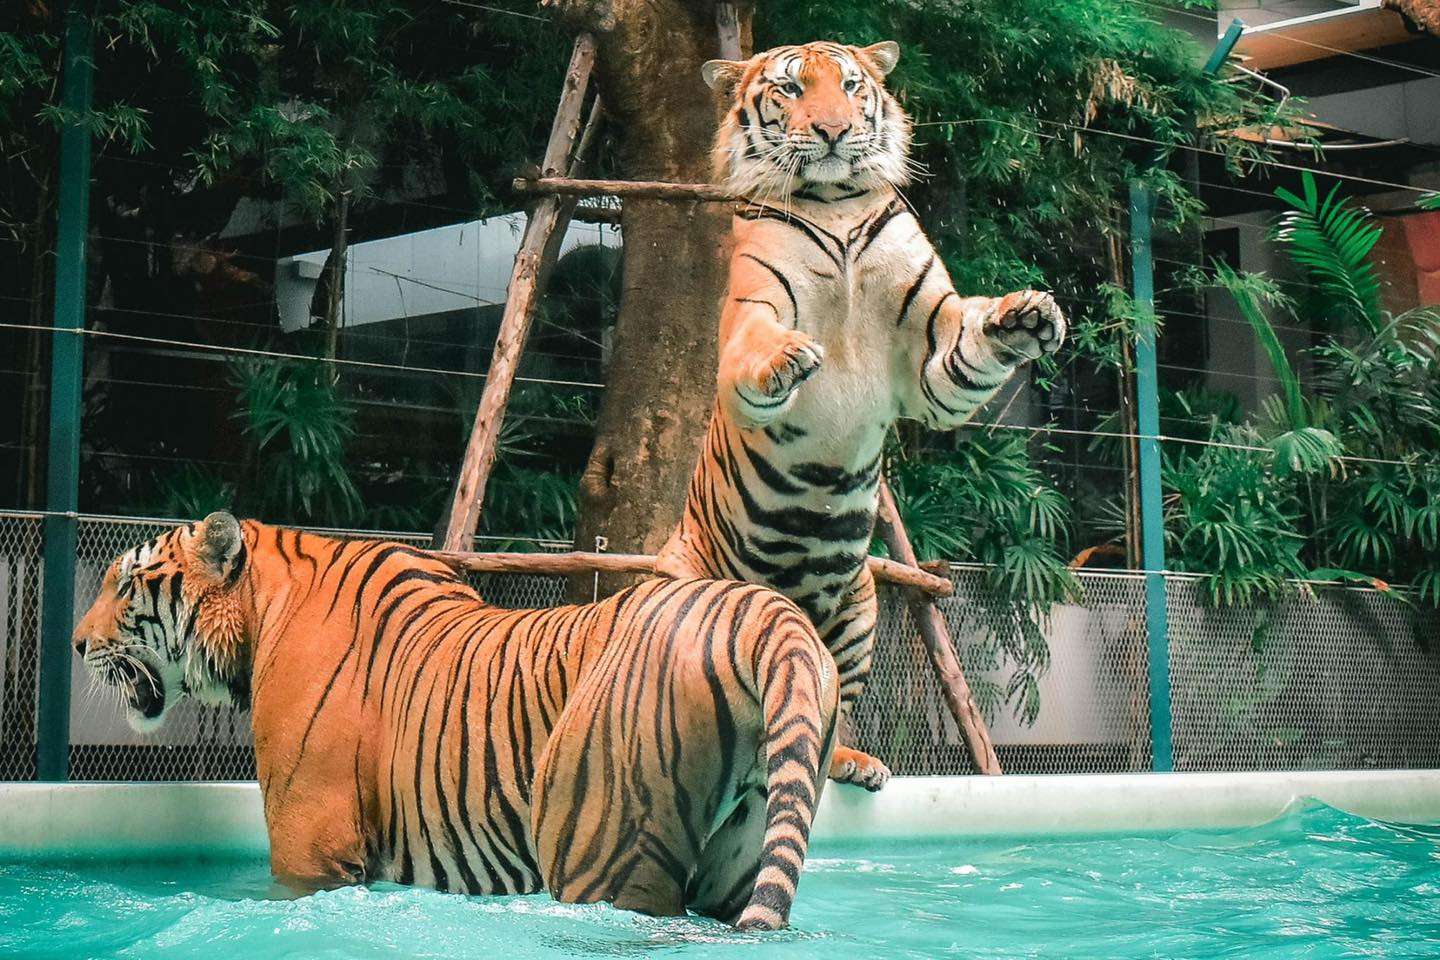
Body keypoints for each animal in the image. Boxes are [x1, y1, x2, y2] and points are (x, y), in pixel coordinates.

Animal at [73, 512, 839, 930]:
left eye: (123, 583)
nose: (78, 644)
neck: (261, 611)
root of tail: (769, 614)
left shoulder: (308, 844)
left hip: (602, 854)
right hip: (736, 864)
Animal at [655, 40, 1066, 790]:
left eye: (850, 86)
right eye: (790, 89)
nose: (833, 131)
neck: (836, 205)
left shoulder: (932, 351)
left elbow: (969, 340)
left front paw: (1023, 315)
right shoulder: (752, 309)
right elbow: (756, 346)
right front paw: (785, 359)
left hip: (860, 606)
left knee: (827, 705)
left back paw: (852, 762)